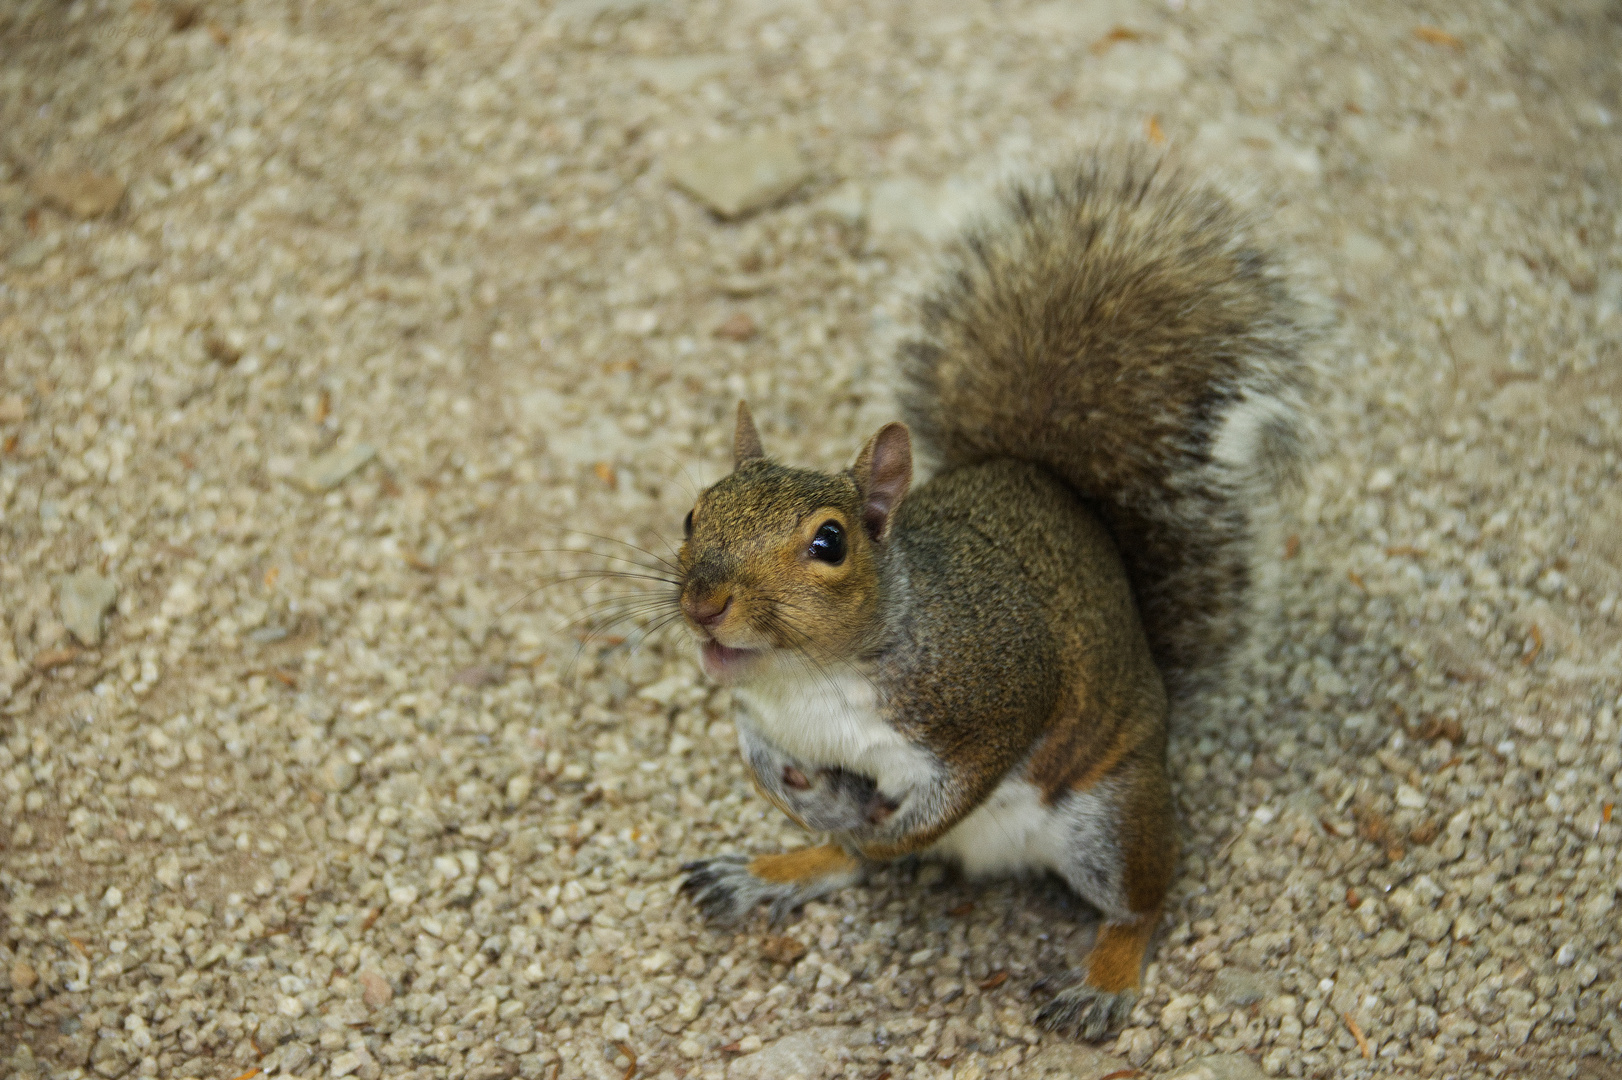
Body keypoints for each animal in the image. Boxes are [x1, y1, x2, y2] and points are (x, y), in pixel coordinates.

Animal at [671, 151, 1317, 1037]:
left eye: (830, 544)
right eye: (692, 512)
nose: (702, 603)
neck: (806, 678)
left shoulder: (999, 691)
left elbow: (959, 787)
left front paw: (893, 827)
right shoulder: (756, 714)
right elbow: (761, 761)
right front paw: (810, 804)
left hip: (1110, 816)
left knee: (1142, 900)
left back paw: (1103, 979)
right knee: (847, 865)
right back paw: (777, 866)